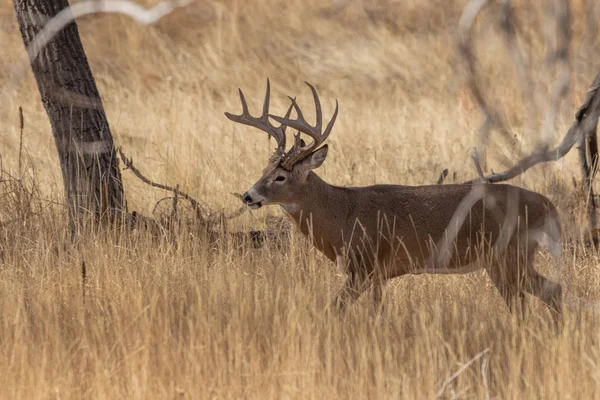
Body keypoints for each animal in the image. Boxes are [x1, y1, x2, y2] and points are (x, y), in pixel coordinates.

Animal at [225, 80, 564, 318]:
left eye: (280, 178)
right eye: (264, 170)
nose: (248, 195)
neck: (341, 214)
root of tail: (547, 205)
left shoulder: (365, 266)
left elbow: (337, 309)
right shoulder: (378, 275)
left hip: (509, 254)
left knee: (547, 292)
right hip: (504, 260)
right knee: (540, 296)